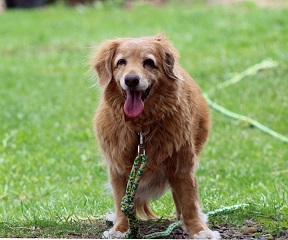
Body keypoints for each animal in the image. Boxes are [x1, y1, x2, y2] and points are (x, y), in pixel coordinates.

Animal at [92, 34, 220, 239]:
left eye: (149, 62)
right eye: (121, 62)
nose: (131, 80)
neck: (141, 128)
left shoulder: (183, 164)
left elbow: (189, 200)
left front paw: (198, 229)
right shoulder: (117, 167)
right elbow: (121, 199)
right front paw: (121, 228)